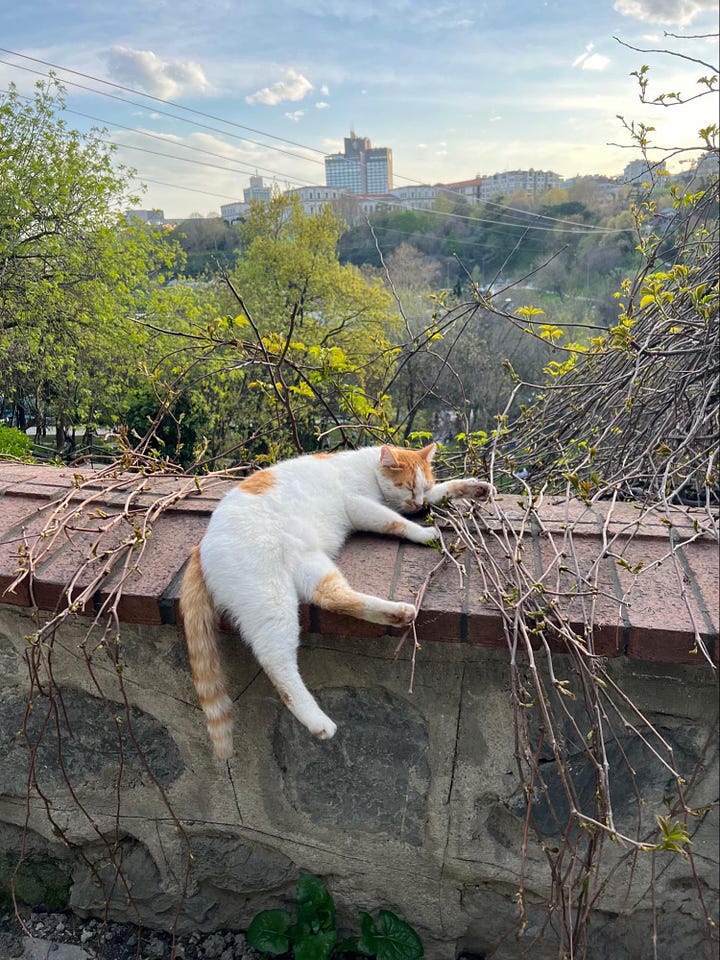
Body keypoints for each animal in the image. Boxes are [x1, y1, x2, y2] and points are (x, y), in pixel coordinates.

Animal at [180, 444, 496, 756]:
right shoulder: (361, 505)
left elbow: (442, 491)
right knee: (276, 661)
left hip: (312, 567)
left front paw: (476, 487)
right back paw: (318, 722)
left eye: (423, 486)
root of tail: (200, 546)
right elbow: (395, 521)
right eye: (407, 487)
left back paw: (398, 613)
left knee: (332, 598)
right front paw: (425, 532)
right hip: (272, 599)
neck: (367, 468)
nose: (418, 505)